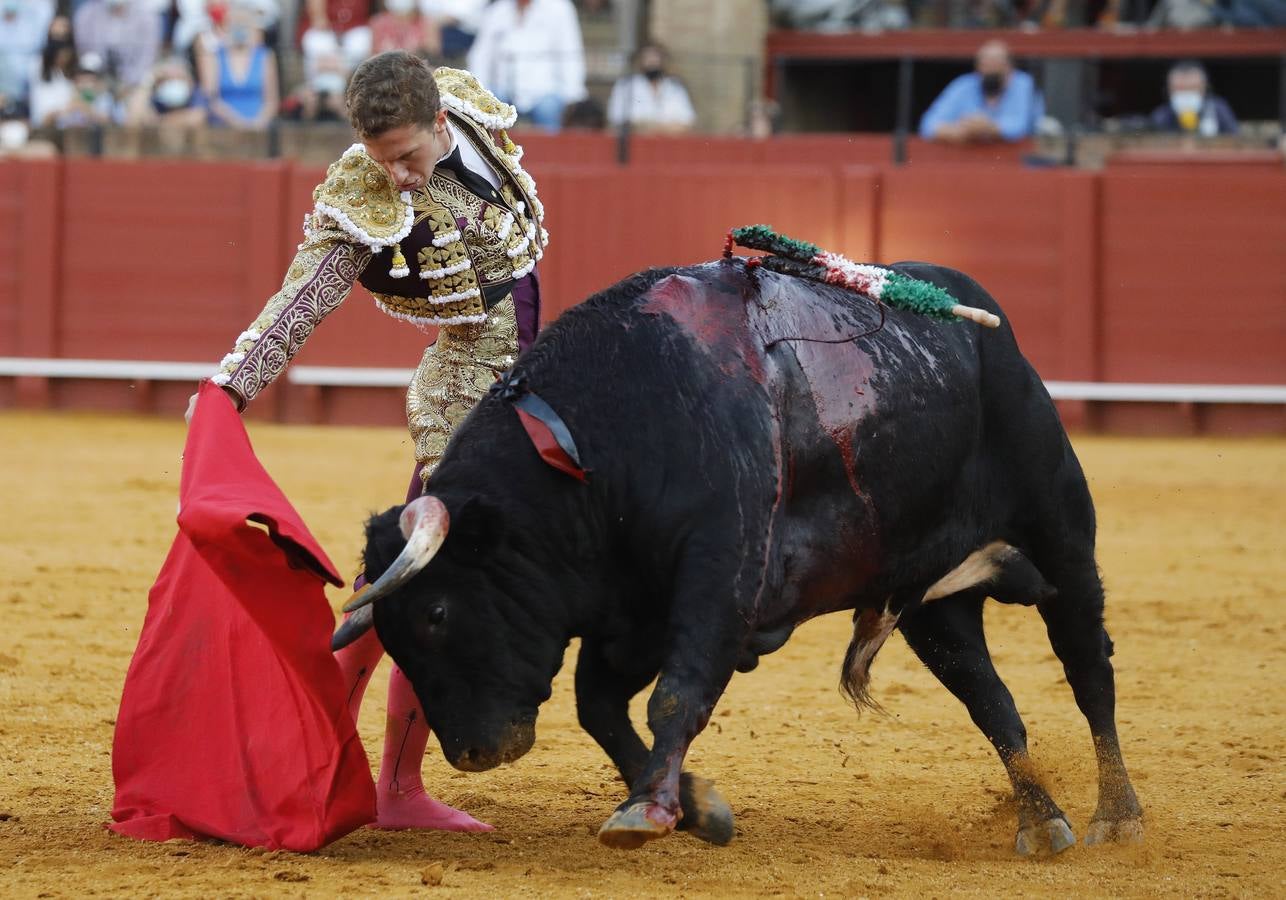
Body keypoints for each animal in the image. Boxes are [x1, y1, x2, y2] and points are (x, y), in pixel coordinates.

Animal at [357, 259, 1141, 858]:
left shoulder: (716, 583)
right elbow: (599, 706)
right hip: (931, 602)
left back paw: (1116, 814)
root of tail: (984, 321)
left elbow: (676, 693)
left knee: (1087, 666)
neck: (596, 445)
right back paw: (1042, 819)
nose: (472, 752)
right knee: (990, 697)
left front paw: (648, 811)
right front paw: (696, 808)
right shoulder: (633, 610)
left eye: (435, 613)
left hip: (1060, 536)